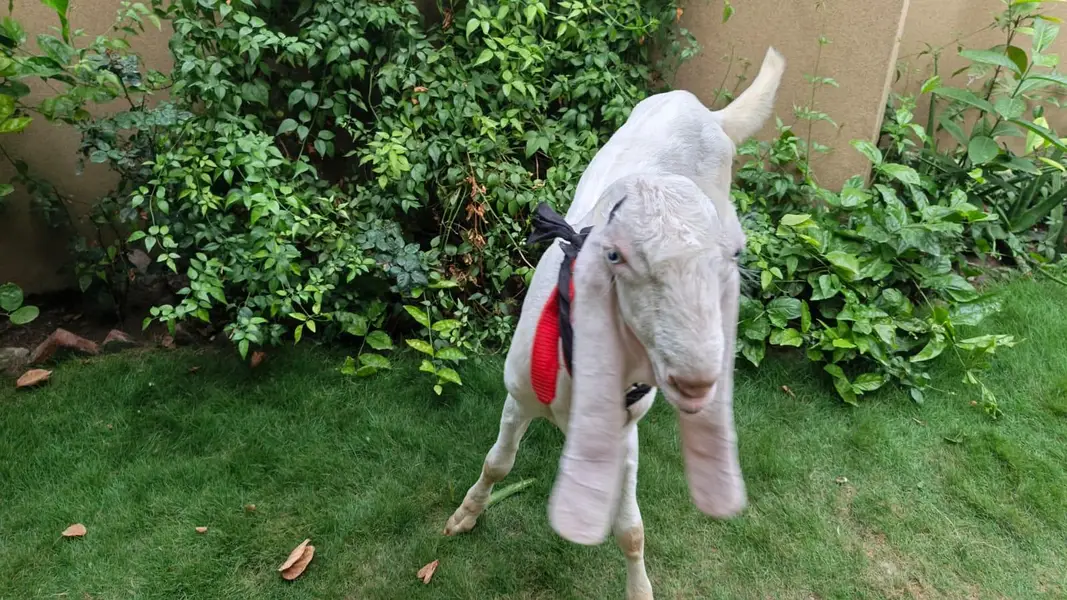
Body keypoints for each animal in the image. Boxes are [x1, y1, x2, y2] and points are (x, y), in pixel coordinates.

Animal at [443, 47, 786, 599]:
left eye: (732, 258)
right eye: (616, 257)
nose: (698, 378)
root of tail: (709, 115)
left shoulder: (626, 433)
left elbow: (630, 529)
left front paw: (640, 588)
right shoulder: (517, 394)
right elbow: (498, 462)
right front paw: (466, 515)